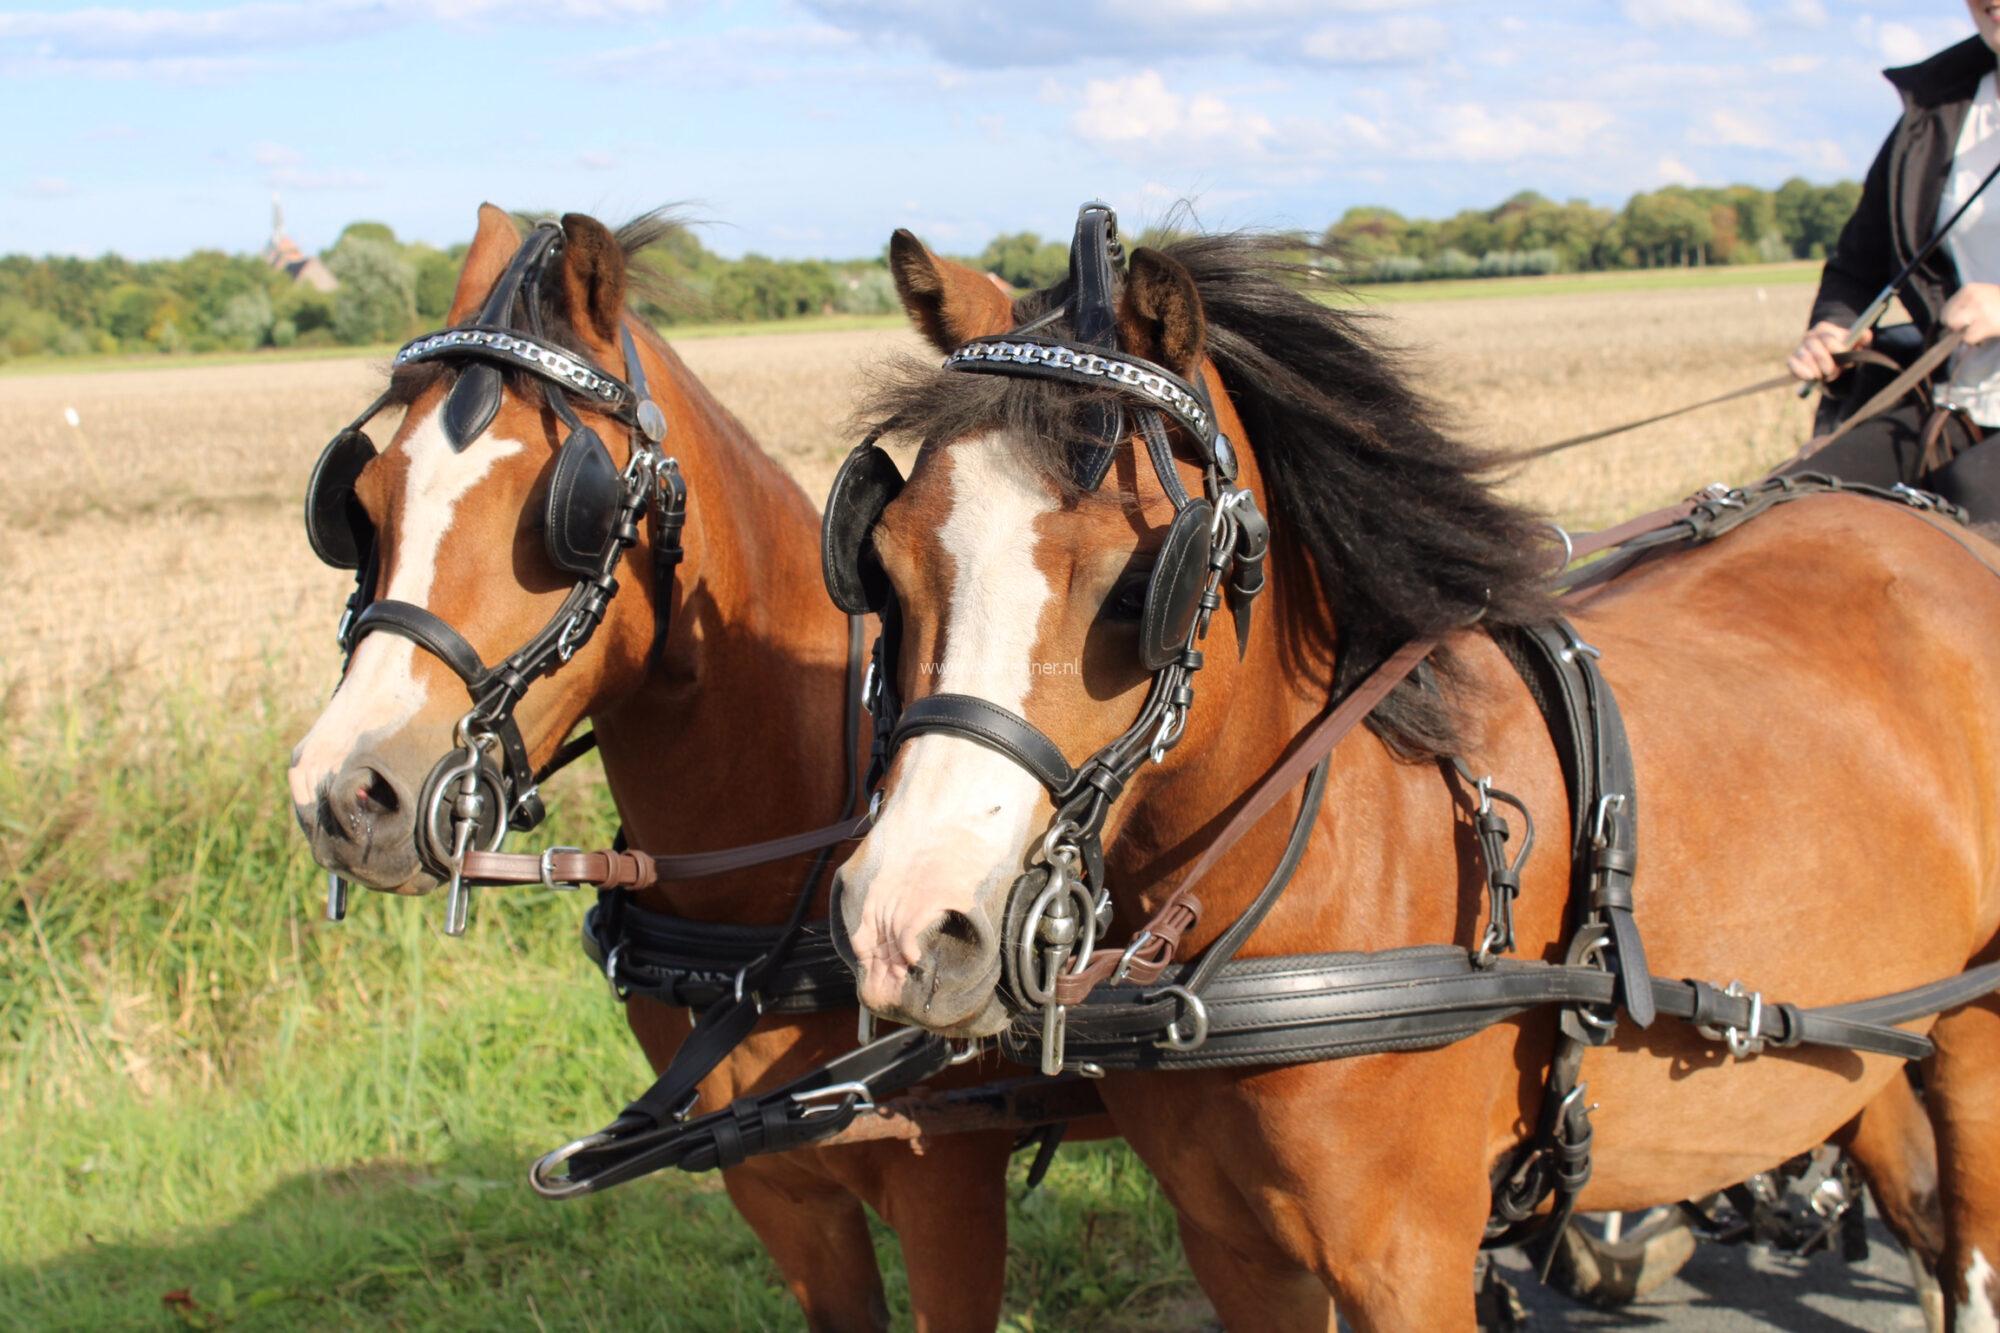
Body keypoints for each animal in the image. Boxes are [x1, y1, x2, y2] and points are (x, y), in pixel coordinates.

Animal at [832, 233, 2000, 1320]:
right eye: (881, 561)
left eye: (1135, 590)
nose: (902, 927)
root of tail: (1941, 534)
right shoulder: (1236, 1249)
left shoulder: (1408, 1260)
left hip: (1973, 1033)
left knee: (1968, 1249)